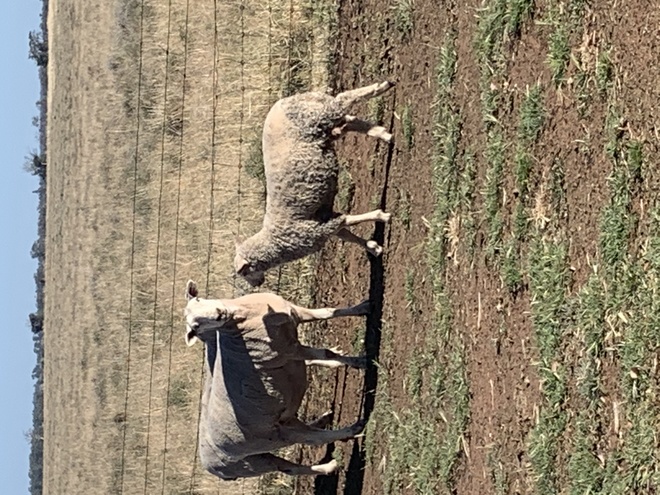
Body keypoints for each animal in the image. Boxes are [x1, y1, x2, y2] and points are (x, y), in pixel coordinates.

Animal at [183, 280, 371, 479]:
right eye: (195, 326)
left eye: (198, 299)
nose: (219, 314)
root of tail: (210, 466)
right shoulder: (289, 350)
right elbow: (326, 353)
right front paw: (359, 361)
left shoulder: (295, 313)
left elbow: (327, 312)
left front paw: (363, 307)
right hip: (270, 439)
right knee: (309, 443)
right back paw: (347, 440)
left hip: (263, 451)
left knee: (296, 450)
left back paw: (326, 425)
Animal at [235, 81, 395, 287]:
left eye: (245, 273)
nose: (257, 285)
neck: (274, 242)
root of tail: (286, 100)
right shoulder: (324, 223)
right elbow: (346, 233)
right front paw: (373, 248)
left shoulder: (315, 230)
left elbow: (349, 220)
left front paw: (382, 217)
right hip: (322, 123)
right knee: (348, 121)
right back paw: (383, 134)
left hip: (319, 114)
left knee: (343, 99)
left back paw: (381, 87)